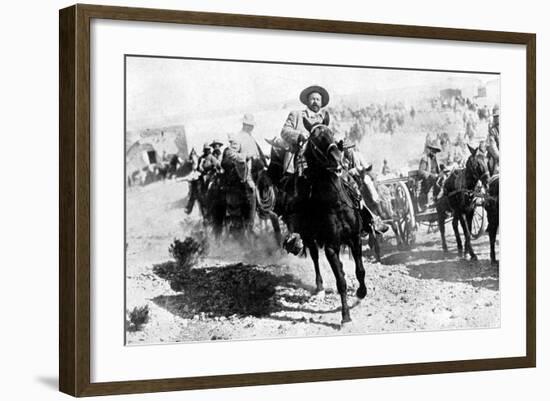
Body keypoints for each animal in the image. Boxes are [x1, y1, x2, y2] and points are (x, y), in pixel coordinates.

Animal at [288, 117, 370, 324]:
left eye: (332, 133)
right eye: (314, 140)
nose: (337, 158)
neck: (335, 204)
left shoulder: (355, 238)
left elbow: (360, 270)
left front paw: (361, 292)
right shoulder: (330, 247)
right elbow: (340, 281)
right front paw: (345, 316)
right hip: (310, 239)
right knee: (316, 258)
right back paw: (319, 288)